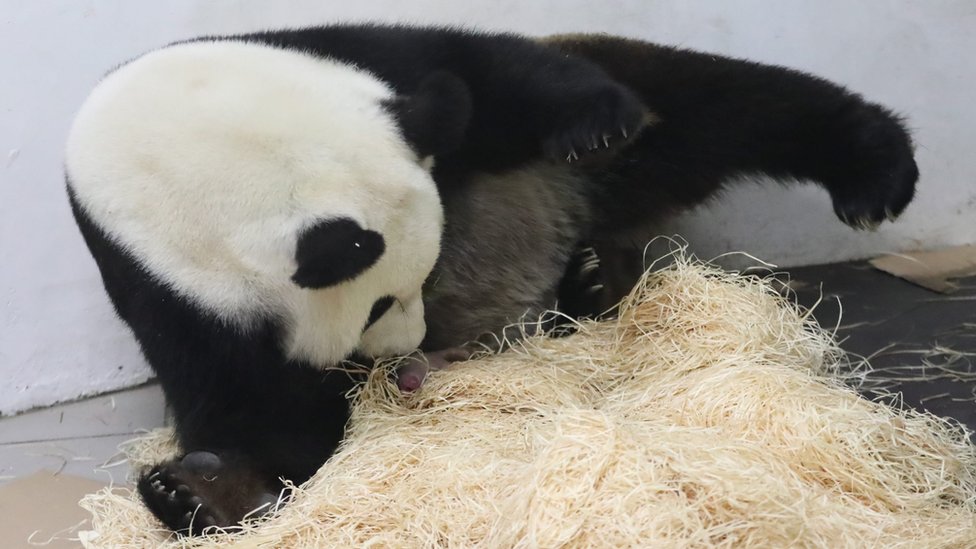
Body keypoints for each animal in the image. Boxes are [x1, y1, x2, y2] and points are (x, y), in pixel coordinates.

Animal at [65, 23, 920, 532]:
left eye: (422, 270)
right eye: (378, 304)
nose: (407, 343)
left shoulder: (347, 58)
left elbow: (482, 75)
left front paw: (591, 118)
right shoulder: (158, 282)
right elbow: (257, 403)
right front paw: (203, 488)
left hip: (634, 128)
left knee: (715, 105)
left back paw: (872, 170)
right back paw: (592, 280)